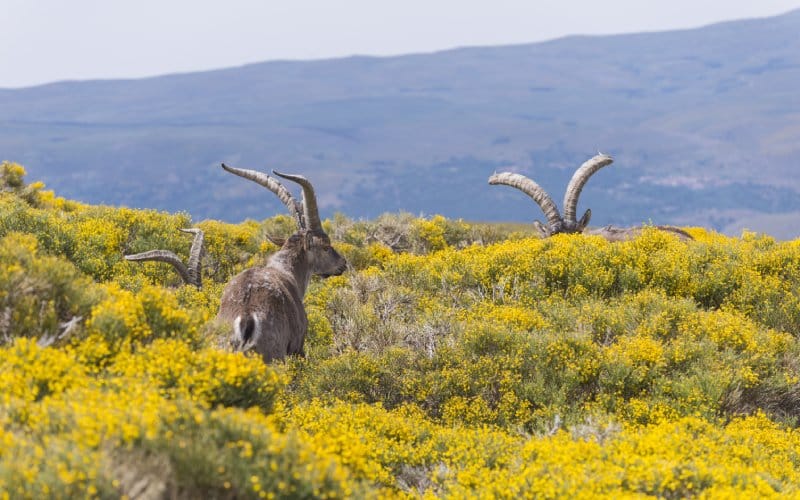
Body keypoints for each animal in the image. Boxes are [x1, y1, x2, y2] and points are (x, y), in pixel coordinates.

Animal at [216, 163, 347, 362]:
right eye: (325, 246)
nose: (342, 263)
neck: (286, 271)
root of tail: (246, 317)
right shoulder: (297, 346)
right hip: (274, 355)